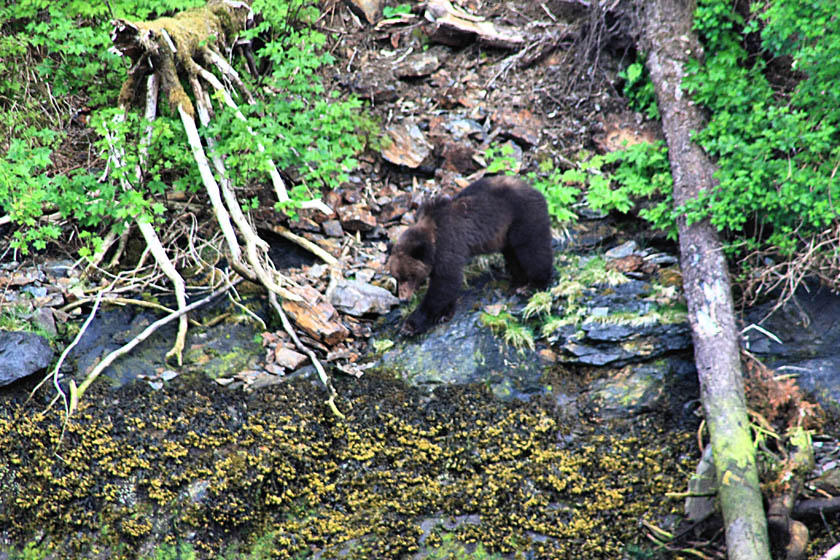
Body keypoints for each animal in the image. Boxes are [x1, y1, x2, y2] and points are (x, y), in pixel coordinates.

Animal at [388, 176, 552, 332]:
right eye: (397, 277)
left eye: (410, 276)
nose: (403, 299)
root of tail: (537, 191)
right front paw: (443, 313)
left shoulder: (448, 245)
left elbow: (445, 283)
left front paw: (412, 323)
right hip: (507, 233)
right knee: (513, 255)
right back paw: (518, 282)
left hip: (523, 218)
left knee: (532, 250)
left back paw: (533, 285)